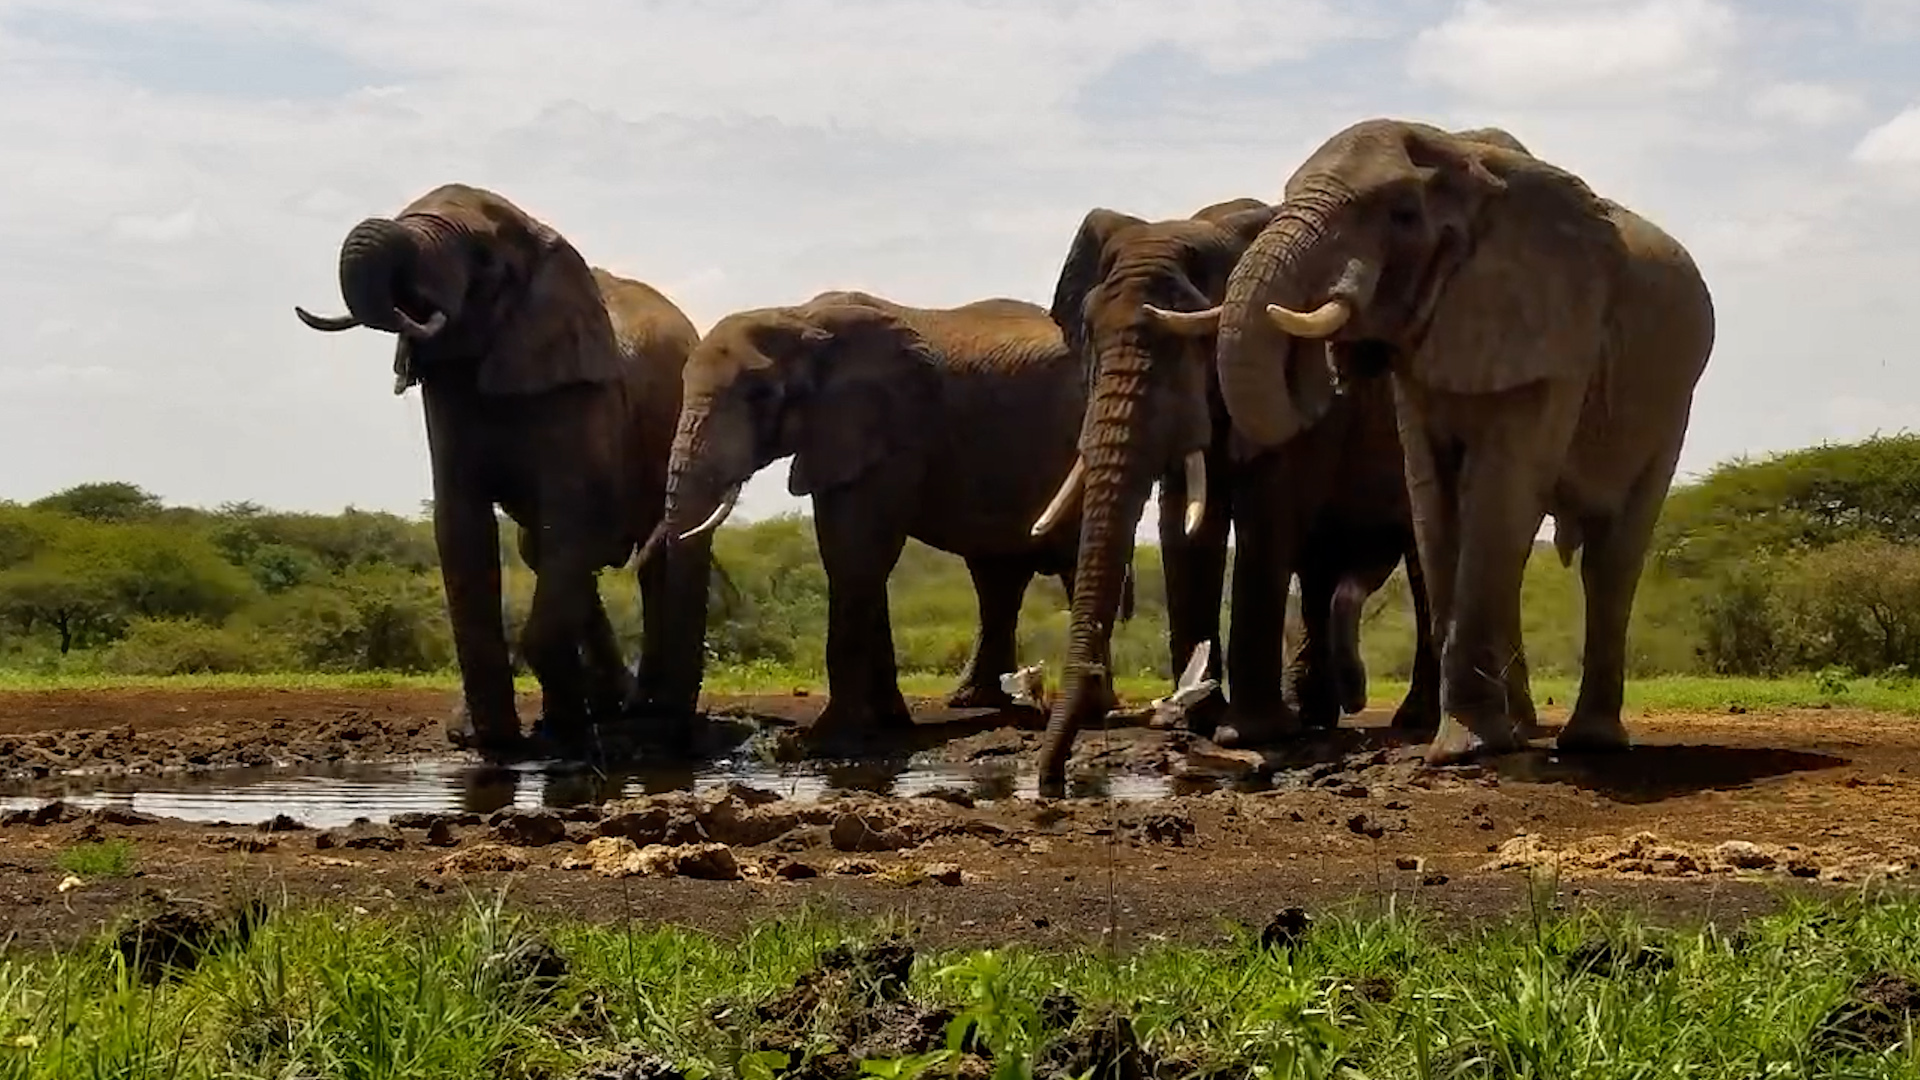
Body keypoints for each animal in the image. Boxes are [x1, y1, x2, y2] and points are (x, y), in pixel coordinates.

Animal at [292, 183, 714, 756]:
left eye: (484, 259)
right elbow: (462, 526)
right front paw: (491, 741)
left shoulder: (579, 394)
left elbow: (568, 516)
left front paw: (563, 738)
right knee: (545, 552)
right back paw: (610, 710)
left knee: (653, 556)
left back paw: (648, 718)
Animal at [645, 289, 1087, 743]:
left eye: (760, 395)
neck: (801, 319)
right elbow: (853, 555)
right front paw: (887, 722)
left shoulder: (894, 429)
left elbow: (854, 553)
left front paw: (834, 735)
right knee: (996, 578)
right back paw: (970, 701)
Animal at [1031, 196, 1445, 788]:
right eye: (1088, 332)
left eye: (1195, 338)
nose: (1052, 781)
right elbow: (1185, 525)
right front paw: (1199, 721)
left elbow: (1265, 517)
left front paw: (1244, 735)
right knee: (1320, 570)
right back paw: (1315, 713)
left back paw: (1412, 718)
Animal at [1201, 117, 1715, 765]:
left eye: (1401, 214)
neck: (1464, 161)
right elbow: (1431, 496)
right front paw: (1467, 745)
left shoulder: (1554, 336)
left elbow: (1500, 489)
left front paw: (1464, 751)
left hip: (1673, 402)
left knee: (1611, 555)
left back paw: (1590, 743)